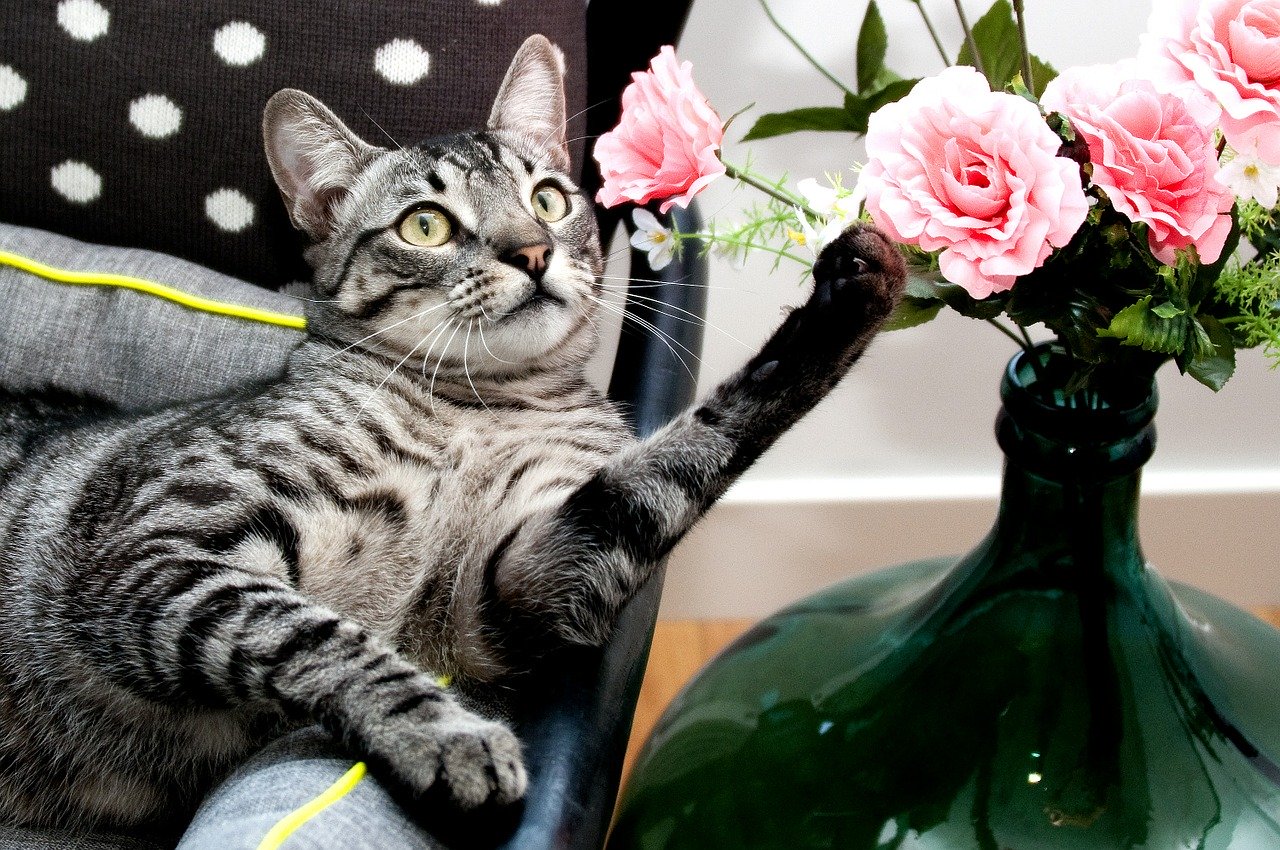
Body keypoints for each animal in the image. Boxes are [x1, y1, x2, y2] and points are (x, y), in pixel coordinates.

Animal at [0, 36, 906, 834]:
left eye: (548, 199)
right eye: (426, 226)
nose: (533, 251)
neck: (480, 410)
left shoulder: (515, 581)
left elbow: (675, 459)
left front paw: (849, 298)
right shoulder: (151, 549)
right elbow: (313, 631)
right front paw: (445, 734)